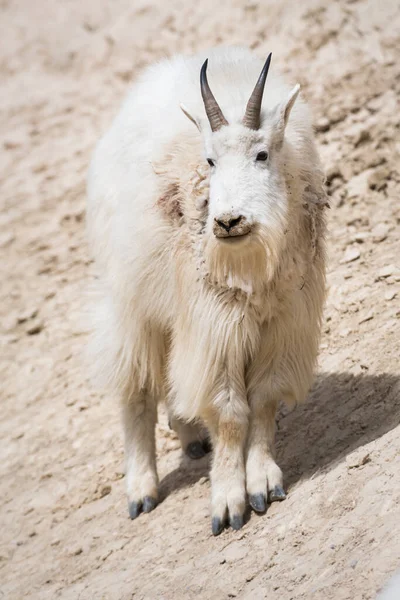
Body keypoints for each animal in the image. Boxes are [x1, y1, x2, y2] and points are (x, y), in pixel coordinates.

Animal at [86, 45, 326, 536]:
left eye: (262, 154)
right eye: (210, 161)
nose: (228, 222)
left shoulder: (284, 321)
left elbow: (264, 398)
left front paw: (264, 483)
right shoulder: (215, 322)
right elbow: (230, 412)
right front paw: (229, 503)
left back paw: (192, 437)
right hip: (131, 303)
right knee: (135, 389)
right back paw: (141, 491)